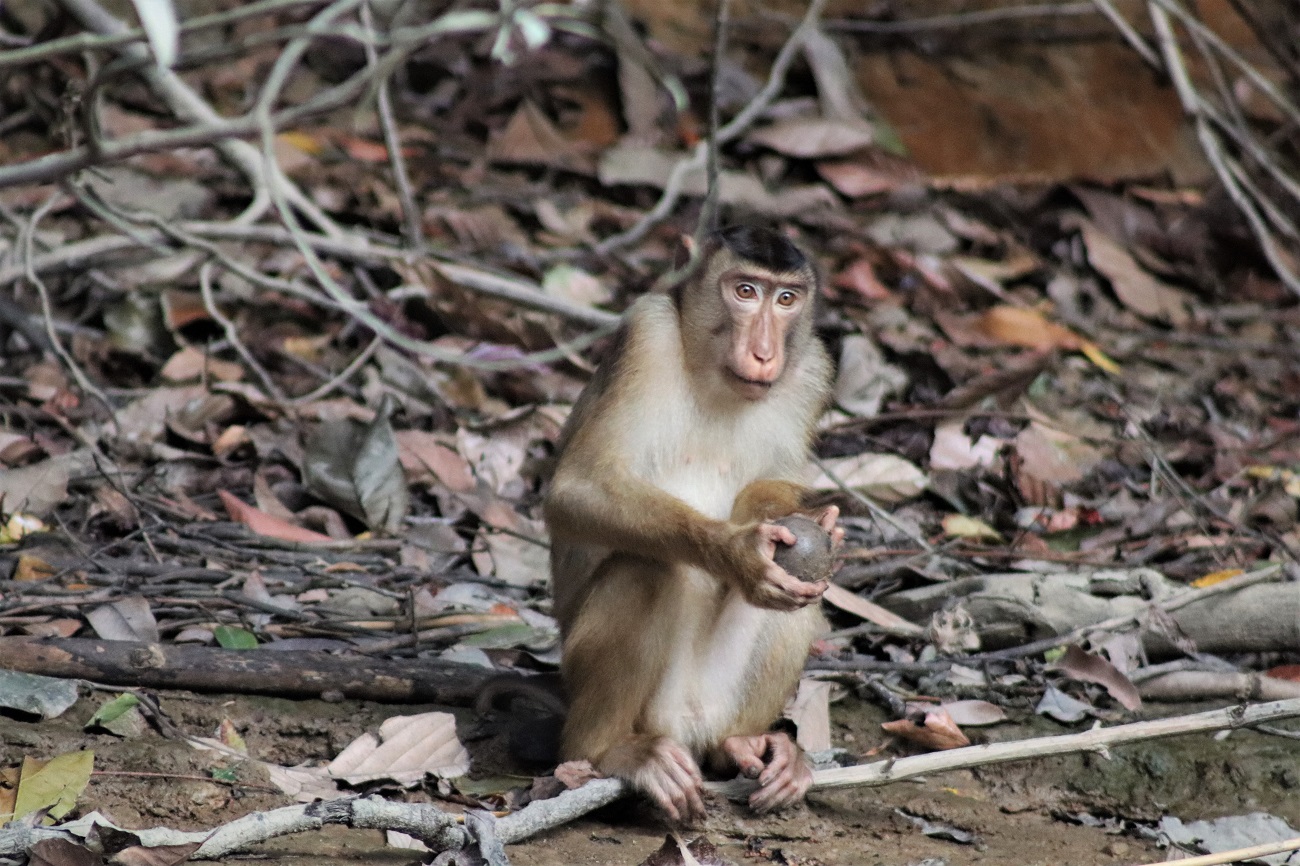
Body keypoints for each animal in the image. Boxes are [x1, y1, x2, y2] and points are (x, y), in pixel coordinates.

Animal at [543, 225, 840, 823]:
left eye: (786, 299)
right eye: (745, 291)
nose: (764, 352)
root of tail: (691, 726)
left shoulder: (812, 372)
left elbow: (771, 491)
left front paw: (822, 517)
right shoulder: (648, 334)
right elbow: (578, 490)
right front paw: (736, 553)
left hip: (717, 698)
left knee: (805, 599)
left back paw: (743, 744)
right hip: (636, 704)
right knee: (644, 569)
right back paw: (610, 752)